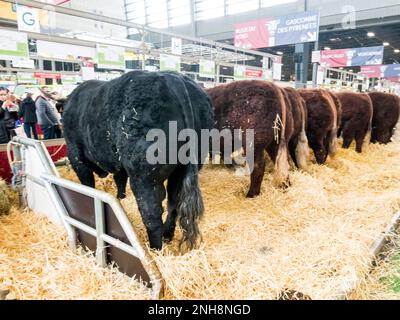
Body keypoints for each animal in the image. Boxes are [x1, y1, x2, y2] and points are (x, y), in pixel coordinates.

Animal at [62, 72, 214, 250]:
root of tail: (172, 78)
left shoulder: (75, 154)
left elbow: (87, 183)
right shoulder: (119, 163)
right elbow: (120, 179)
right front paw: (120, 197)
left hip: (144, 176)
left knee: (152, 212)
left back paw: (155, 248)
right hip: (182, 170)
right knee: (173, 204)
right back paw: (167, 235)